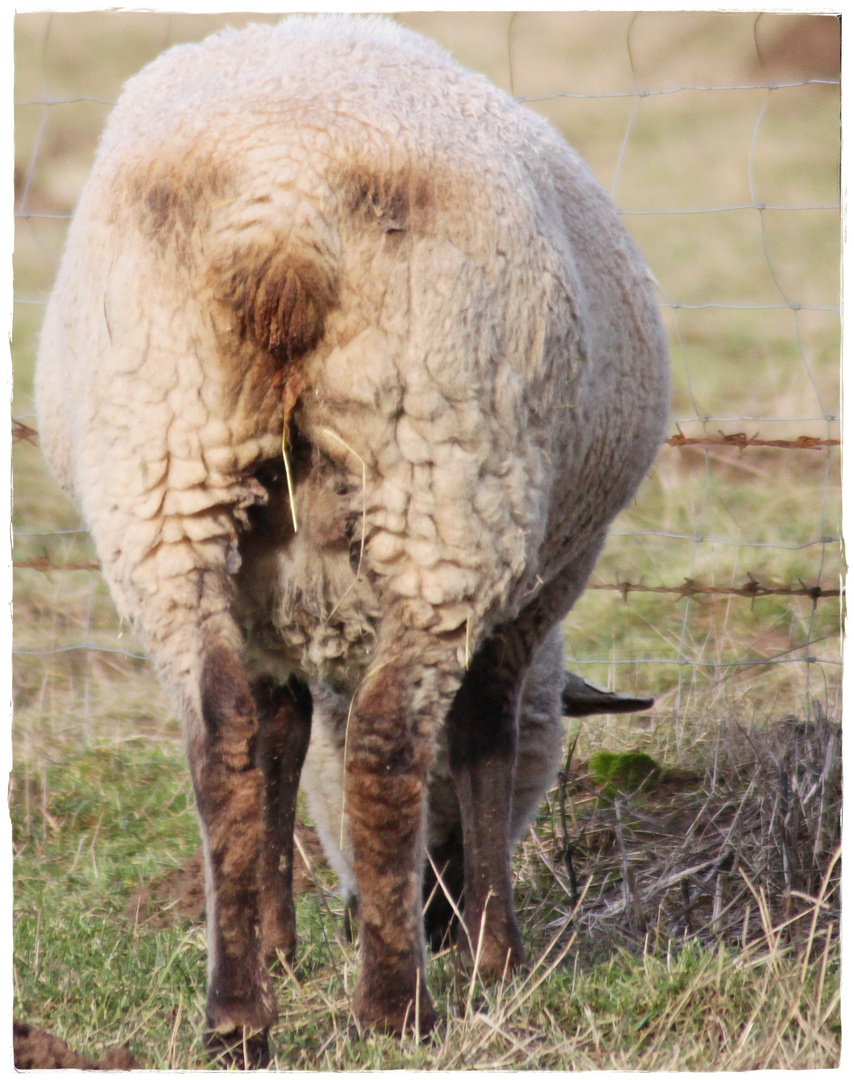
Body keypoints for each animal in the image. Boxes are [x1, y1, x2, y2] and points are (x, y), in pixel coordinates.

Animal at [36, 12, 669, 1067]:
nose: (437, 913)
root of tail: (282, 205)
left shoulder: (265, 609)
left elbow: (281, 742)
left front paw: (279, 941)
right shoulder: (538, 592)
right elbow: (484, 735)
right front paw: (496, 957)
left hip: (165, 473)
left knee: (220, 736)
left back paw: (239, 1015)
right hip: (444, 469)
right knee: (385, 739)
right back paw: (395, 1006)